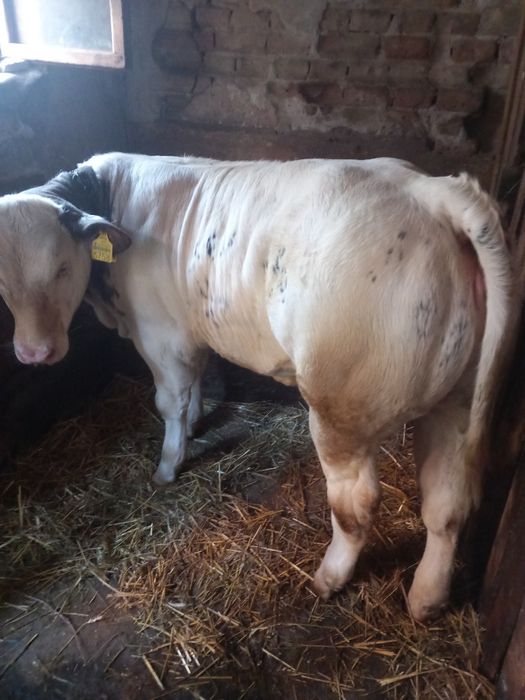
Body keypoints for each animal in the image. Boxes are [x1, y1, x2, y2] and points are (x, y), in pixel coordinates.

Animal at [0, 153, 512, 621]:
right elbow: (195, 387)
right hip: (457, 401)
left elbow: (170, 401)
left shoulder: (161, 334)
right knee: (446, 502)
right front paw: (195, 425)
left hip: (339, 412)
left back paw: (330, 576)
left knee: (357, 502)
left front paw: (168, 466)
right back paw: (426, 599)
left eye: (62, 268)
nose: (34, 352)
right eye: (3, 281)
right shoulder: (194, 330)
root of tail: (429, 190)